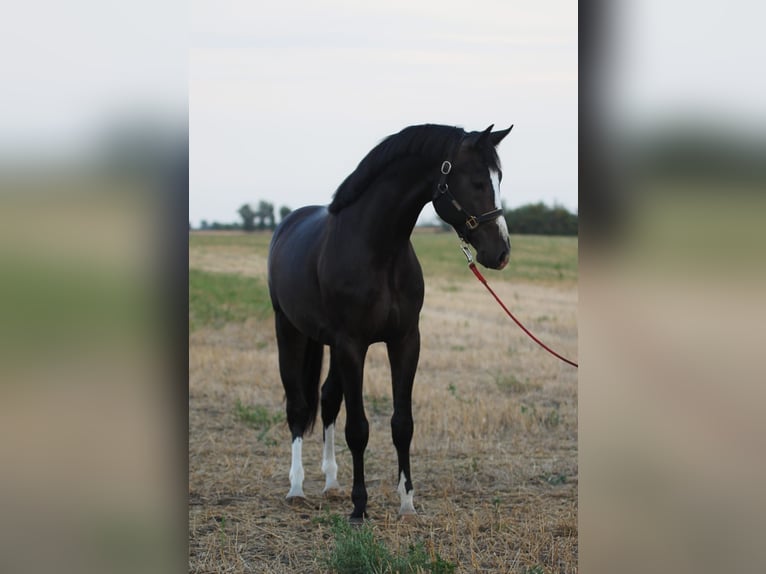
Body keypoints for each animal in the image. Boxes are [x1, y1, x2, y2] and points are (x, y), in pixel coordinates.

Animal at [268, 122, 512, 520]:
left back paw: (331, 482)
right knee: (298, 406)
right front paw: (359, 507)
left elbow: (402, 424)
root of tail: (288, 223)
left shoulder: (405, 341)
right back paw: (296, 488)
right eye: (477, 181)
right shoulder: (352, 345)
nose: (501, 252)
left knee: (328, 399)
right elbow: (358, 429)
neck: (379, 250)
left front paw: (407, 501)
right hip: (289, 331)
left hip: (329, 344)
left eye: (499, 178)